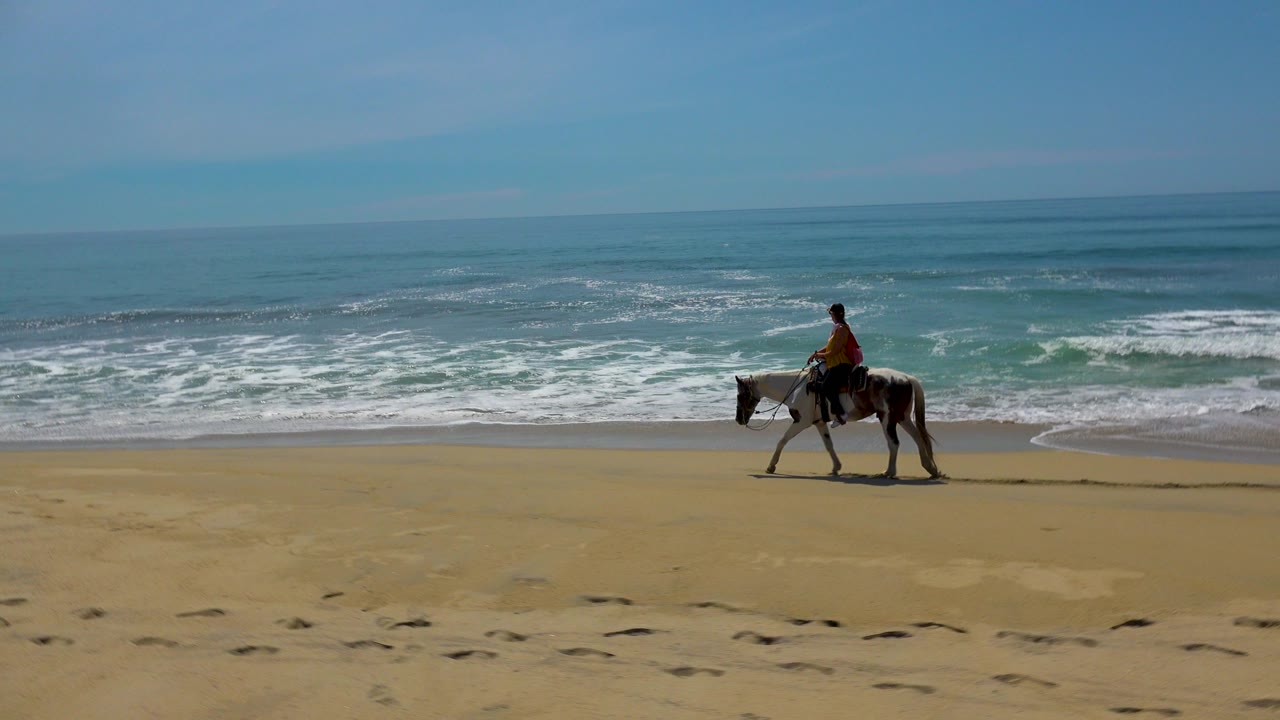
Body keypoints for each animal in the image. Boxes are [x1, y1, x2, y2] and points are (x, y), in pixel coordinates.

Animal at [735, 365, 944, 479]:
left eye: (740, 395)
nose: (739, 419)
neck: (797, 387)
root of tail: (907, 378)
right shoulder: (819, 422)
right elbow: (828, 445)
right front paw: (836, 467)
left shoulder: (802, 421)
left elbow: (782, 440)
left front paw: (771, 466)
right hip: (903, 417)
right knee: (918, 437)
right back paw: (930, 468)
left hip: (887, 418)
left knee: (894, 443)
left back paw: (889, 472)